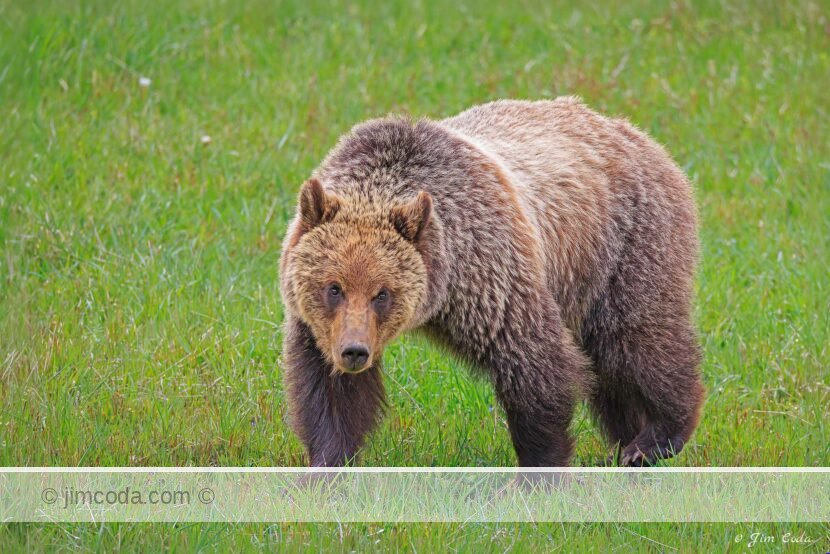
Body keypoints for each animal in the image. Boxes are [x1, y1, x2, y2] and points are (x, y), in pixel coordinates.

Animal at [279, 97, 705, 468]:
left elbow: (535, 364)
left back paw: (655, 438)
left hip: (625, 246)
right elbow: (329, 394)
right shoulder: (317, 327)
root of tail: (639, 135)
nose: (355, 351)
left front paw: (538, 469)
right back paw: (627, 441)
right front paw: (326, 466)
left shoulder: (489, 277)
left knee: (636, 339)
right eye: (333, 287)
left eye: (382, 293)